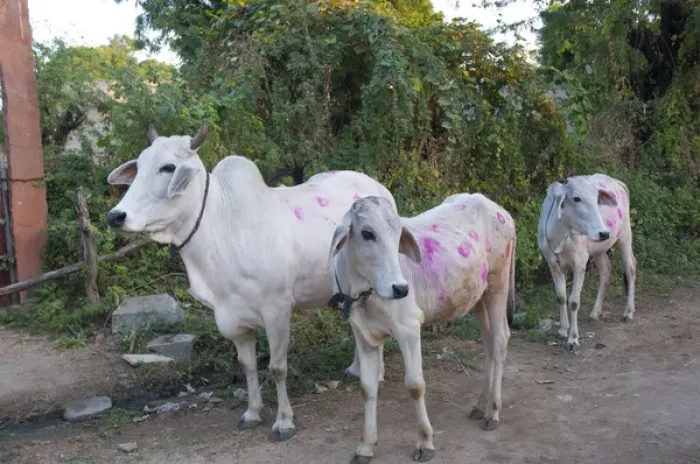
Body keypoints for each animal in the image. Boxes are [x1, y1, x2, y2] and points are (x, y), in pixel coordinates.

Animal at [105, 122, 396, 441]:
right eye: (140, 165)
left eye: (168, 167)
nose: (116, 216)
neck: (224, 229)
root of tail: (378, 187)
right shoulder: (231, 318)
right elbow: (247, 365)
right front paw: (252, 412)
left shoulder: (277, 309)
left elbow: (278, 368)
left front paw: (284, 422)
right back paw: (357, 368)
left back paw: (378, 374)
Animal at [329, 194, 516, 463]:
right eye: (367, 233)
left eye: (399, 234)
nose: (400, 288)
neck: (366, 291)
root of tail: (498, 209)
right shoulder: (364, 337)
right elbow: (368, 388)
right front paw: (365, 446)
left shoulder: (409, 329)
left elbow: (415, 386)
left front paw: (425, 442)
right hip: (478, 296)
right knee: (489, 344)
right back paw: (481, 405)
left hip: (497, 286)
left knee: (500, 340)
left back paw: (493, 411)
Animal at [537, 174, 636, 349]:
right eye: (576, 198)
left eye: (596, 199)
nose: (604, 233)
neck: (561, 236)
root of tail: (617, 182)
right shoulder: (553, 263)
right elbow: (561, 297)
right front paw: (562, 330)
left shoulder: (580, 263)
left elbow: (574, 301)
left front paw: (573, 339)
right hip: (598, 249)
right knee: (605, 270)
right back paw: (595, 312)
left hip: (624, 235)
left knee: (630, 268)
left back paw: (628, 312)